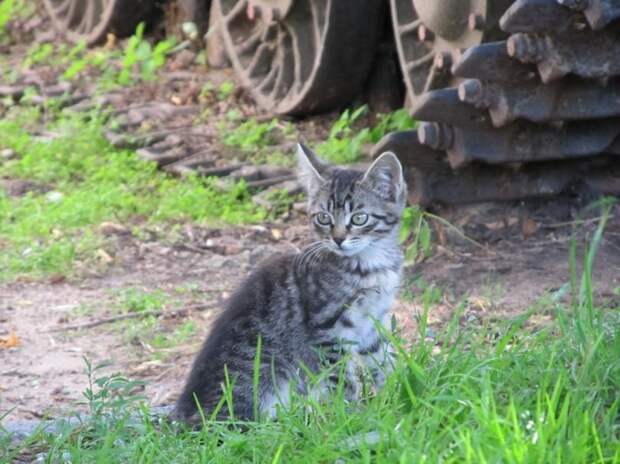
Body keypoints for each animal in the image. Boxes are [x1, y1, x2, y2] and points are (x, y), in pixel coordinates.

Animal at [173, 143, 406, 422]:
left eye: (360, 218)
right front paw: (350, 414)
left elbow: (382, 359)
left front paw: (400, 392)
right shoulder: (326, 330)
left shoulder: (372, 321)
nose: (338, 239)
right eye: (323, 218)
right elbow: (342, 379)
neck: (371, 265)